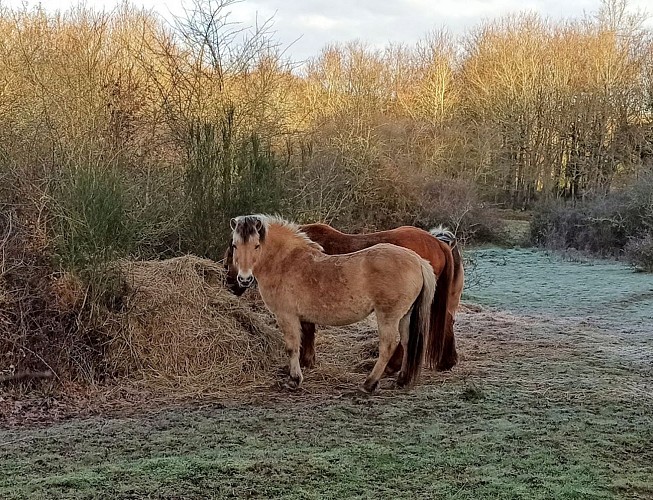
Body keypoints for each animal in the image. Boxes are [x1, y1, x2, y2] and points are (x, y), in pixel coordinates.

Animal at [229, 213, 438, 392]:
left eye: (257, 245)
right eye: (235, 245)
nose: (244, 279)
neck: (286, 262)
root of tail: (418, 260)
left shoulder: (286, 315)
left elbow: (292, 346)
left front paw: (294, 380)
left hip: (388, 315)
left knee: (388, 346)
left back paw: (369, 384)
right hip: (404, 315)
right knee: (407, 342)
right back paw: (401, 380)